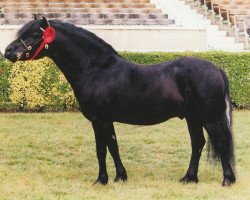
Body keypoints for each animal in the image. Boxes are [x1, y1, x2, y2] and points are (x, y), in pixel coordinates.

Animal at [4, 17, 237, 186]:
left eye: (35, 34)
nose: (8, 51)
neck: (96, 69)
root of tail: (217, 68)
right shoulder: (107, 120)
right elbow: (113, 146)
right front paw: (120, 177)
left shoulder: (98, 119)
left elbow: (101, 149)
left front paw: (101, 180)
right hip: (192, 118)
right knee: (198, 143)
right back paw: (189, 178)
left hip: (210, 118)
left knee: (220, 142)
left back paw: (227, 180)